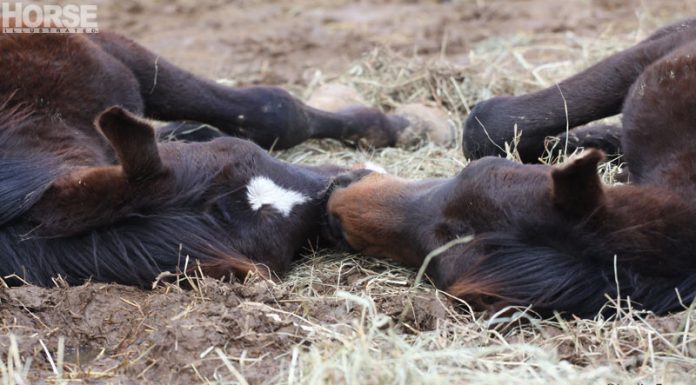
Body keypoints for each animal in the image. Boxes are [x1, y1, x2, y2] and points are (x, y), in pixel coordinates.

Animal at [0, 32, 408, 284]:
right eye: (286, 247)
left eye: (244, 153)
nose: (342, 191)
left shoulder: (112, 51)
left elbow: (272, 110)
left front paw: (392, 125)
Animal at [328, 19, 696, 316]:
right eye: (471, 175)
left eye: (437, 264)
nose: (335, 209)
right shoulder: (659, 50)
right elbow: (493, 125)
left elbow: (485, 121)